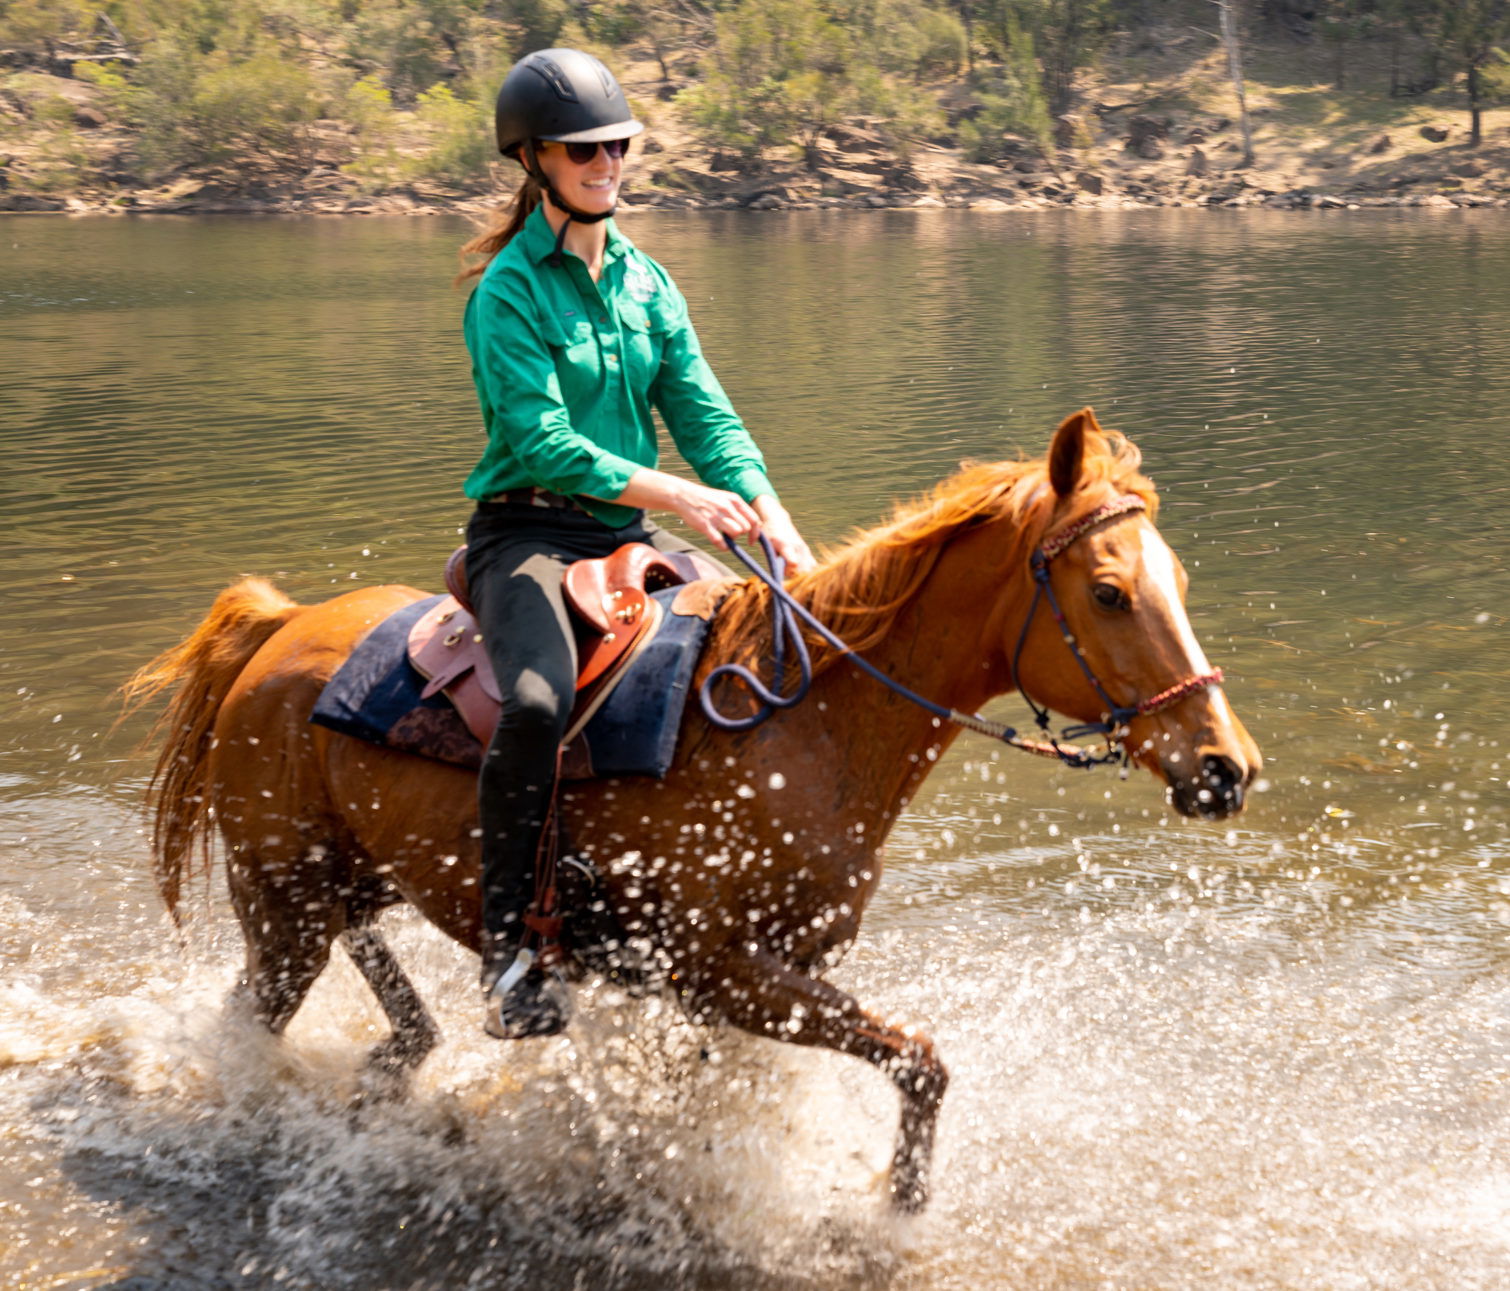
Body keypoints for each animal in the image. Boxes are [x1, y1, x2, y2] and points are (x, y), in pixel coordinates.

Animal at [126, 409, 1261, 1212]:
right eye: (1108, 591)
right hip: (282, 902)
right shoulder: (725, 973)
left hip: (341, 888)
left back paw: (395, 1058)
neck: (806, 729)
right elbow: (922, 1060)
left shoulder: (759, 977)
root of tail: (277, 628)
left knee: (376, 985)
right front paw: (894, 1207)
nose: (1226, 767)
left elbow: (722, 1096)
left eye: (1177, 575)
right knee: (250, 1016)